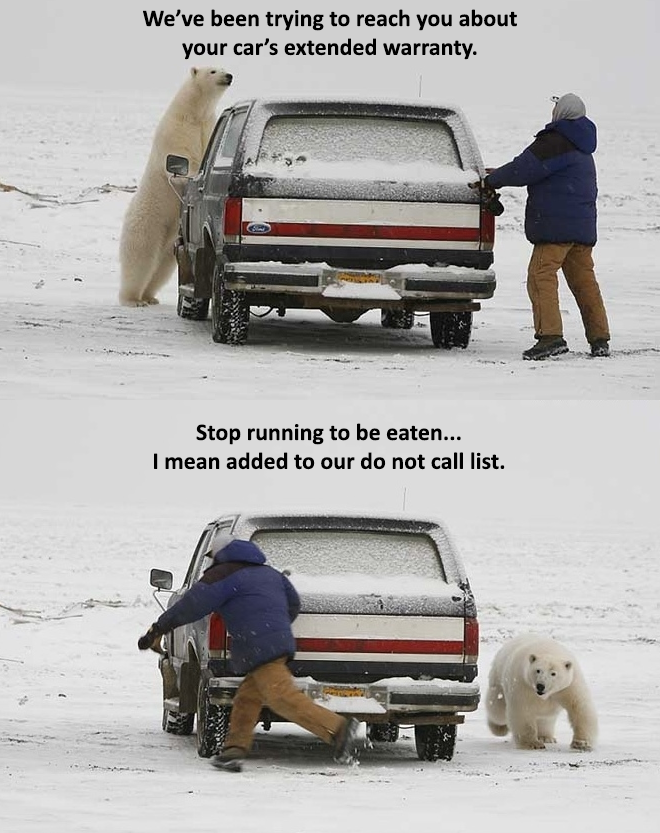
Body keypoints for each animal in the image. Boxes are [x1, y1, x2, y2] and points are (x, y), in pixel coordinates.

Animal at [118, 67, 233, 307]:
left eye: (223, 68)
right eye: (213, 70)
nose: (229, 76)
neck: (195, 112)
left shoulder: (207, 127)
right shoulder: (177, 128)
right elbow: (181, 155)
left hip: (171, 235)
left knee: (163, 265)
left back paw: (150, 296)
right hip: (148, 221)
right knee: (141, 258)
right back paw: (133, 299)